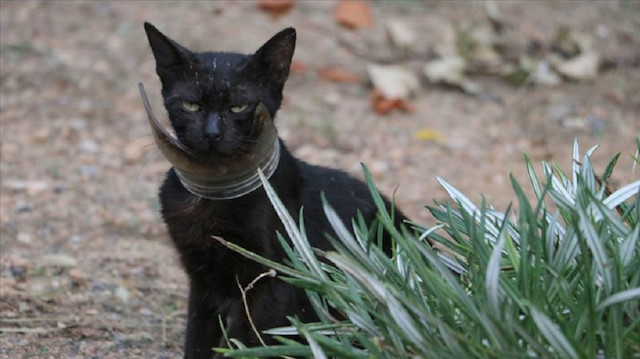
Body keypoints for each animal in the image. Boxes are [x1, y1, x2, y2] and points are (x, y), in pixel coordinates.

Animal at [144, 23, 404, 359]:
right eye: (191, 105)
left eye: (239, 106)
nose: (212, 133)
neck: (214, 193)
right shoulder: (201, 281)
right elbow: (198, 338)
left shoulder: (274, 281)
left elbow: (249, 341)